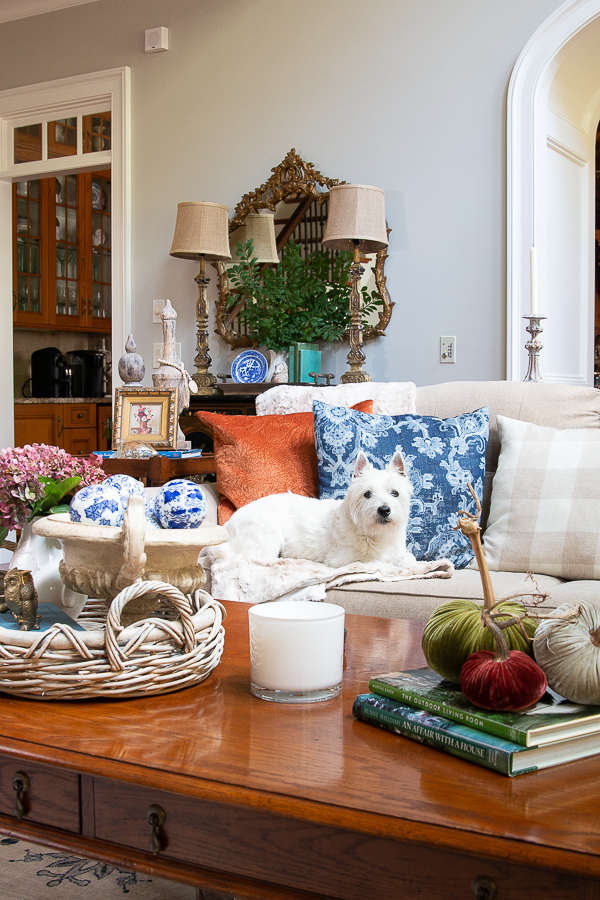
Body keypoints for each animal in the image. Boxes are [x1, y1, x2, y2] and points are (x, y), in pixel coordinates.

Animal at [218, 450, 420, 568]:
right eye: (367, 494)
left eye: (395, 493)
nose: (384, 510)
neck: (375, 534)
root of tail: (227, 526)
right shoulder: (343, 558)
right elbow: (378, 561)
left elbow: (409, 558)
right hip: (267, 536)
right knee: (255, 557)